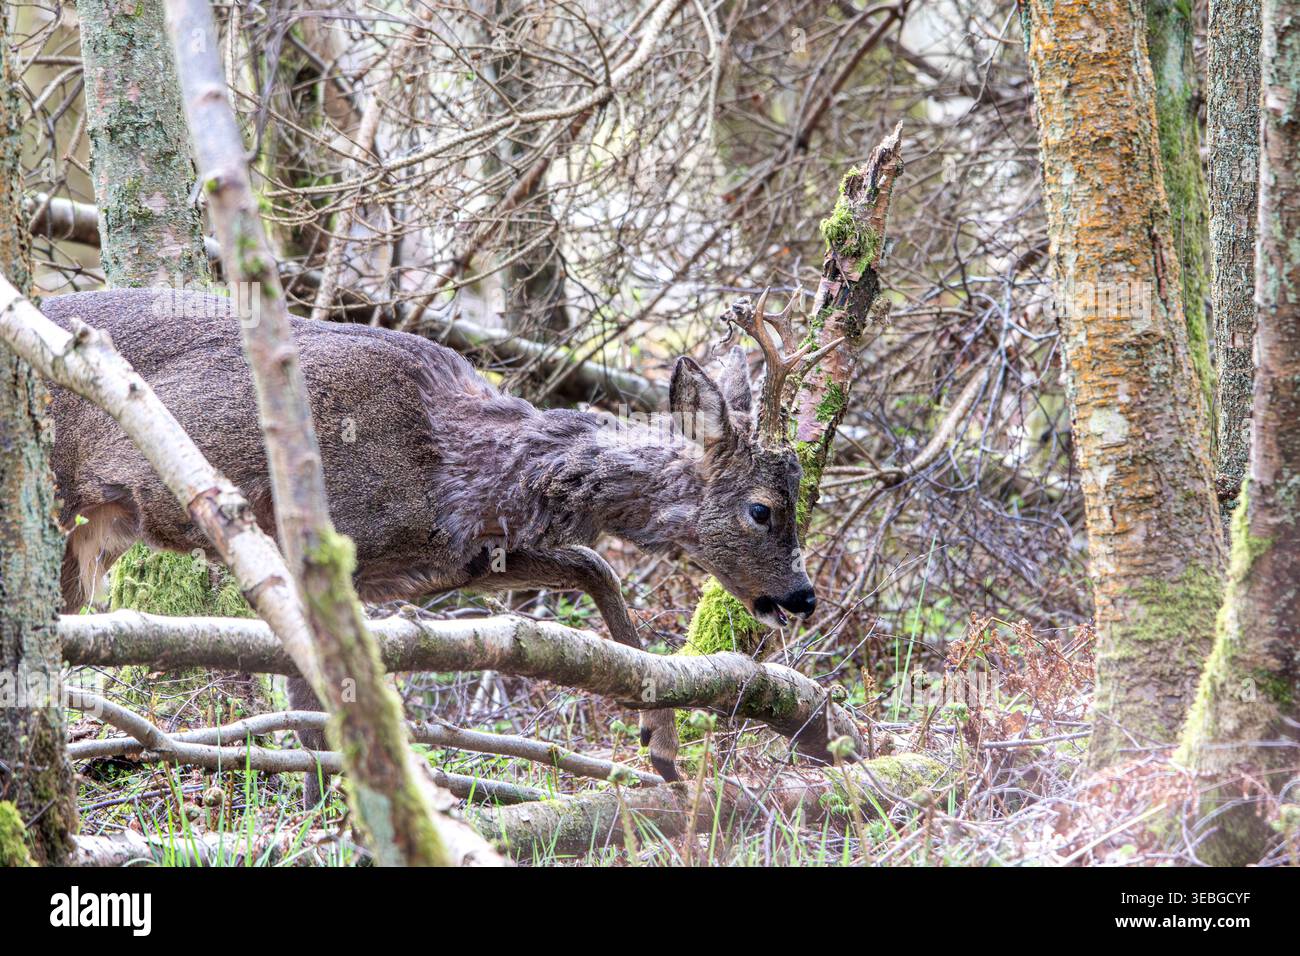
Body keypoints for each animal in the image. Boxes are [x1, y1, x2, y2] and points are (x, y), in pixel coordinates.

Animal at [44, 286, 819, 796]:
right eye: (761, 510)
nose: (802, 596)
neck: (469, 467)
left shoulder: (462, 560)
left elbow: (595, 566)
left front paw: (660, 745)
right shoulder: (320, 550)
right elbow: (311, 699)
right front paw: (336, 808)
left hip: (92, 535)